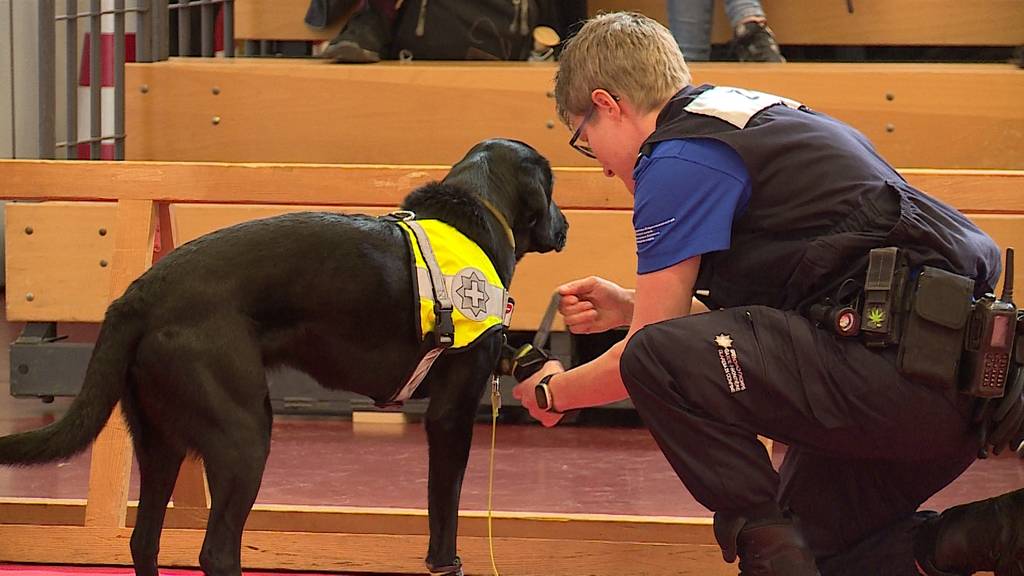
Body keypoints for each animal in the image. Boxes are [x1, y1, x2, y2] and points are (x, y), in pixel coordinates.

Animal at [0, 138, 569, 573]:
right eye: (552, 189)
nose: (565, 226)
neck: (475, 207)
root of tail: (138, 294)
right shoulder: (450, 416)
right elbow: (444, 517)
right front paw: (446, 563)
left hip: (160, 441)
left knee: (144, 541)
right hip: (244, 434)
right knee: (217, 551)